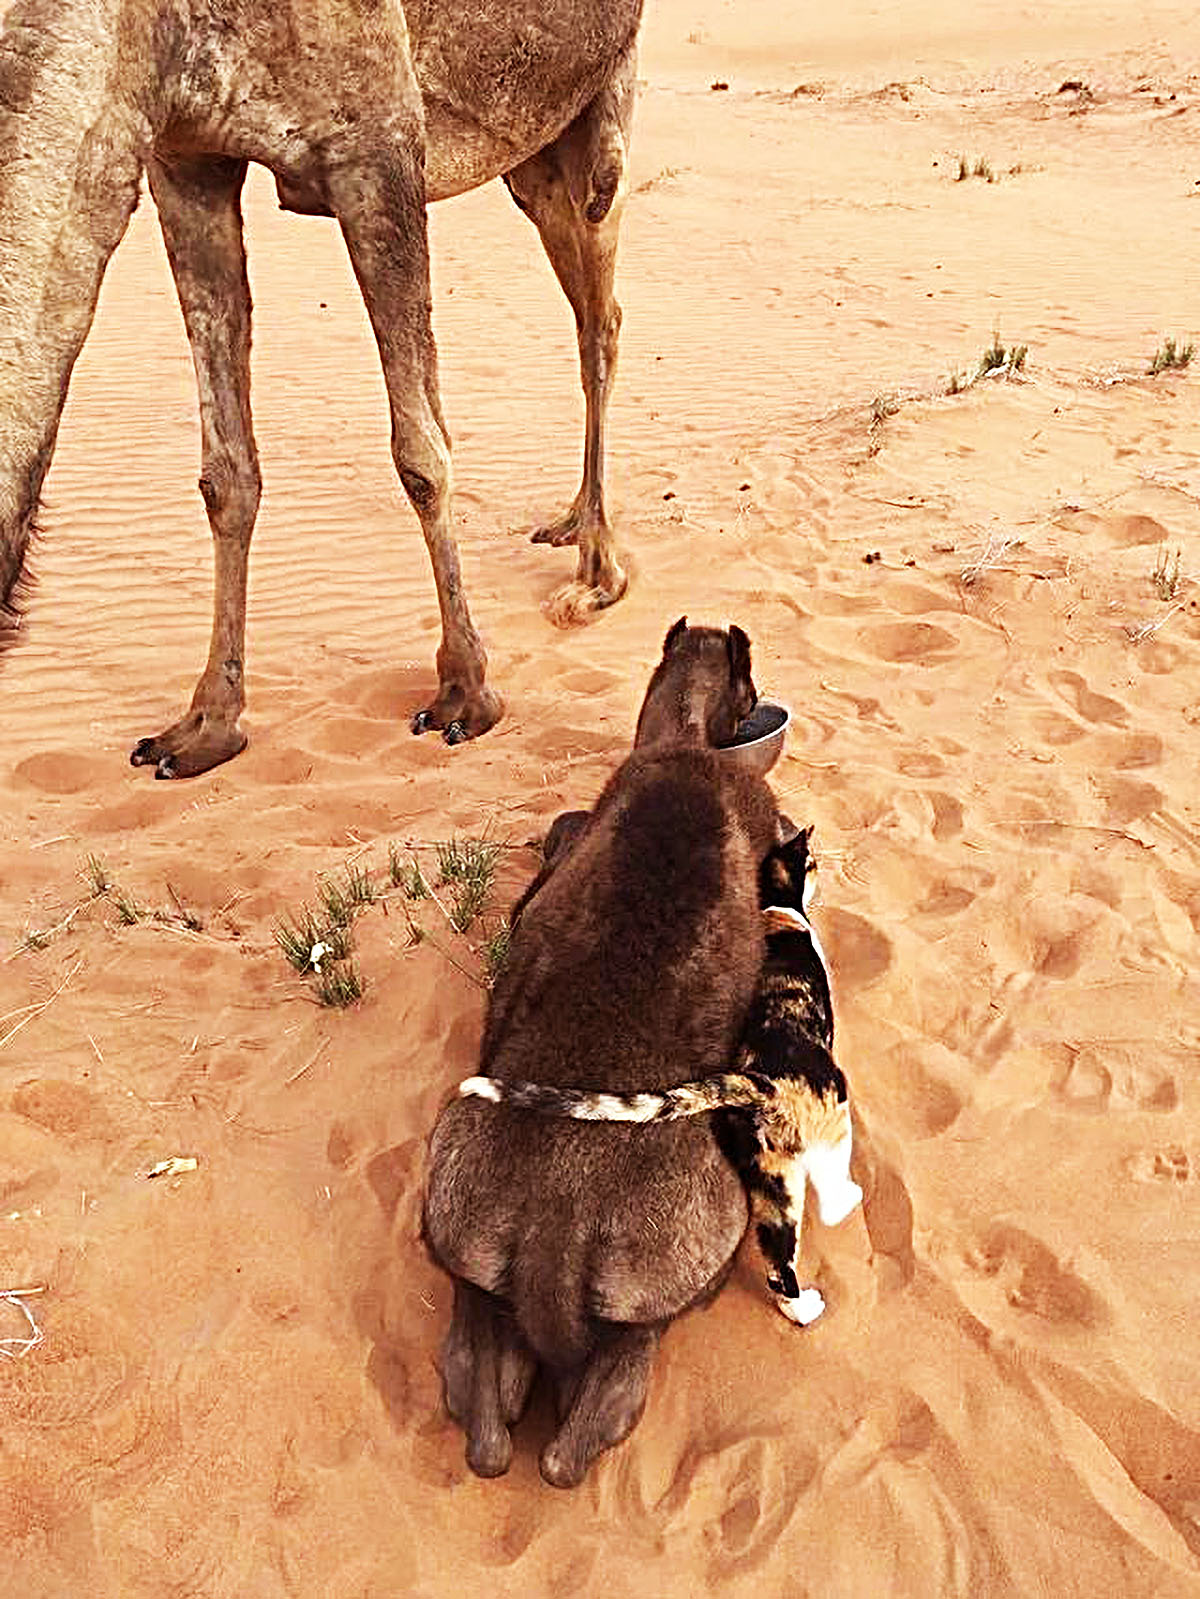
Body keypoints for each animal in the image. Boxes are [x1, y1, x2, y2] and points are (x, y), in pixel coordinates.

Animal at [0, 0, 649, 773]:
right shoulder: (185, 158)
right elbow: (227, 475)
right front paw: (208, 722)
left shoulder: (378, 147)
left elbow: (422, 454)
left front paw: (466, 692)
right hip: (531, 157)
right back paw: (574, 520)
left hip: (600, 109)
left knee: (602, 314)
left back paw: (598, 571)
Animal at [460, 831, 864, 1330]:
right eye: (812, 862)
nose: (822, 867)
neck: (775, 906)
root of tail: (754, 1081)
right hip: (828, 1122)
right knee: (826, 1194)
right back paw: (846, 1205)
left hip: (774, 1179)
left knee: (779, 1261)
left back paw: (801, 1309)